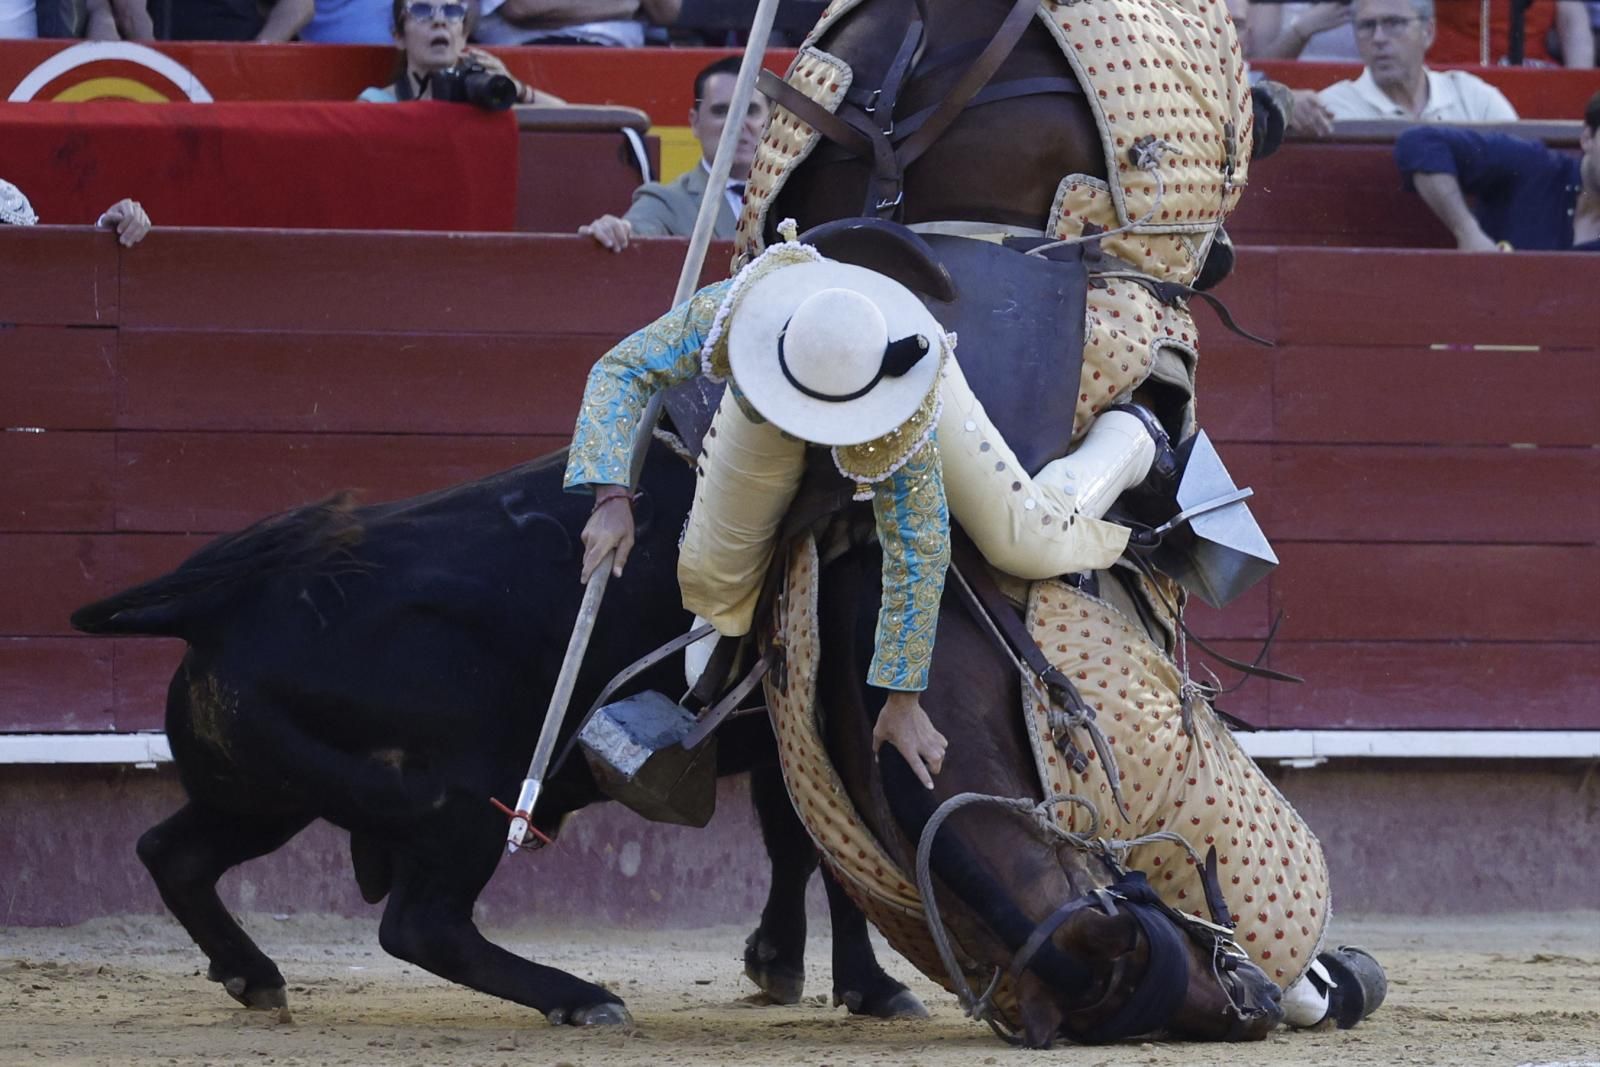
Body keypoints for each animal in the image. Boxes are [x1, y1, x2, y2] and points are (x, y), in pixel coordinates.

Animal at [75, 444, 928, 1023]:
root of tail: (225, 601)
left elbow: (802, 844)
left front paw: (783, 964)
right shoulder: (826, 719)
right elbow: (837, 852)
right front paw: (873, 986)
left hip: (263, 793)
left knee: (173, 851)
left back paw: (254, 975)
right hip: (460, 797)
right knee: (423, 924)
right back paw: (581, 997)